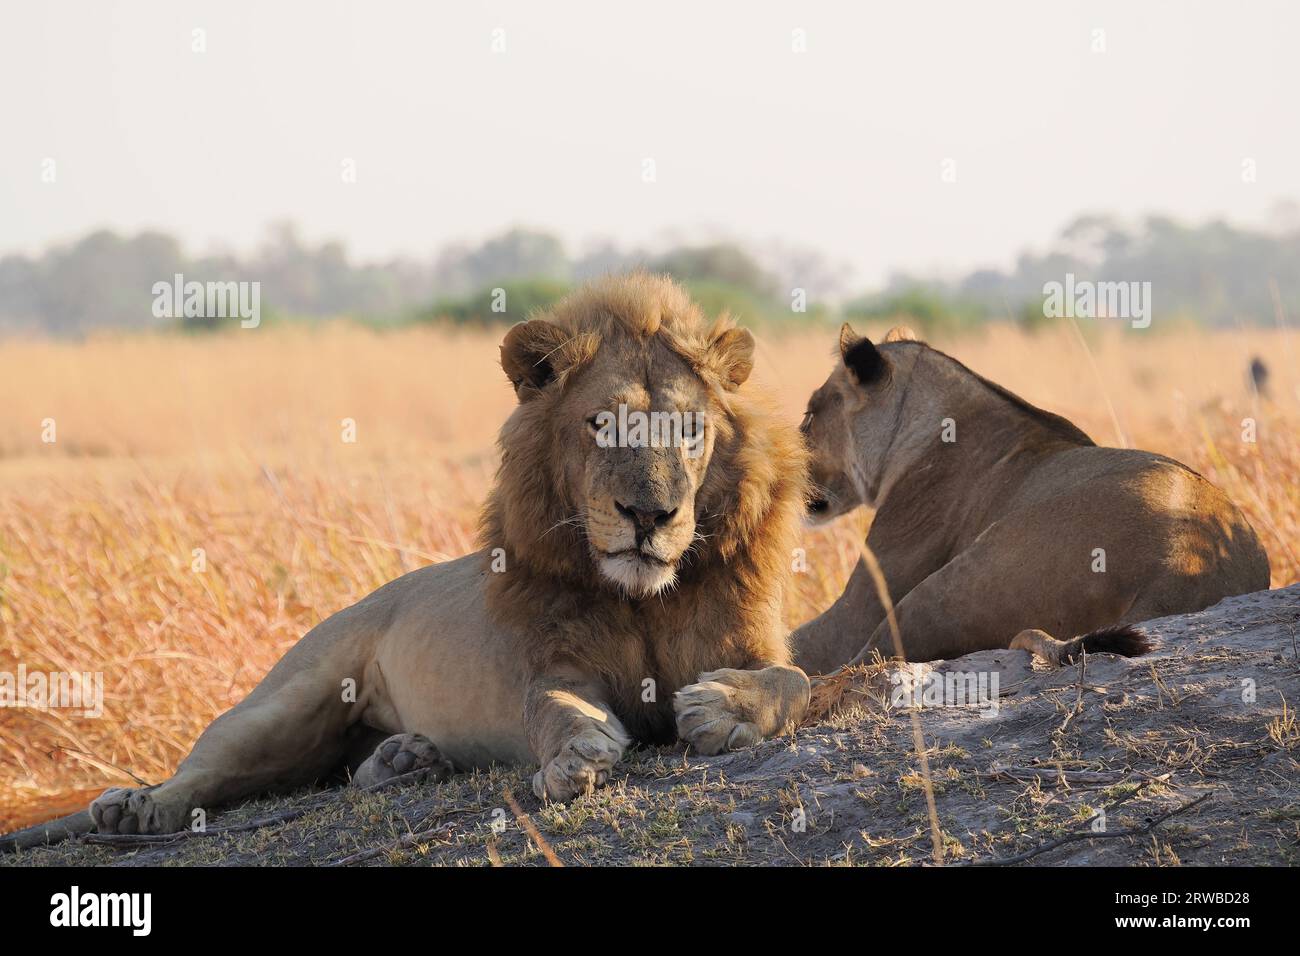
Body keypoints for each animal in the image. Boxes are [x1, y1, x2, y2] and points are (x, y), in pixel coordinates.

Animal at [5, 270, 806, 842]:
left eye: (691, 429)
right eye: (601, 423)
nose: (650, 515)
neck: (640, 598)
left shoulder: (751, 641)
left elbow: (792, 679)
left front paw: (724, 706)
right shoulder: (555, 663)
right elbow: (553, 707)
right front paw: (577, 753)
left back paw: (402, 761)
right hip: (285, 704)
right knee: (204, 772)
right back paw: (135, 807)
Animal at [790, 323, 1268, 671]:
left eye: (809, 415)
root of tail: (1183, 561)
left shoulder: (862, 603)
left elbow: (803, 639)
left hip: (954, 581)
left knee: (855, 666)